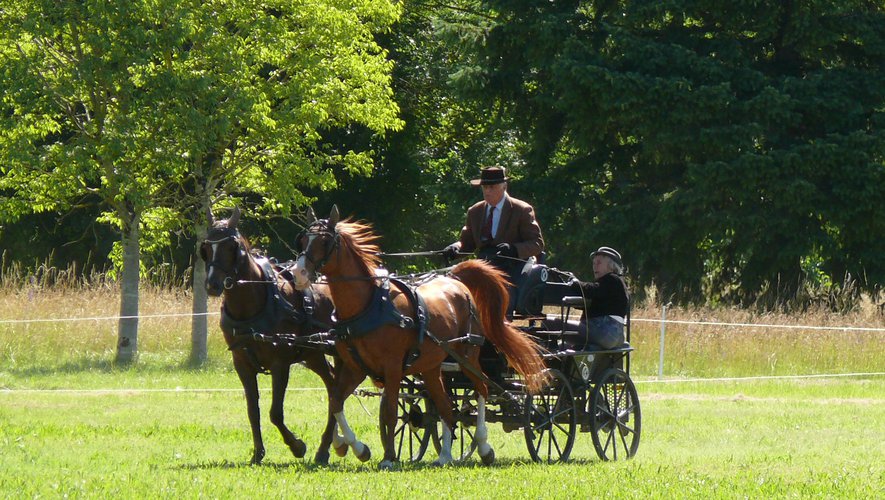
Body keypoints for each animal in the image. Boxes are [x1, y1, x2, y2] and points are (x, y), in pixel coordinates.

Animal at [200, 207, 348, 464]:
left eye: (231, 246)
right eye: (206, 247)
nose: (213, 284)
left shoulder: (280, 363)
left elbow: (275, 413)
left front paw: (297, 446)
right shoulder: (242, 364)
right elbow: (253, 411)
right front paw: (257, 453)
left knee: (336, 391)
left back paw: (325, 448)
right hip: (313, 355)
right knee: (332, 389)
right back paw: (325, 447)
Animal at [290, 204, 548, 468]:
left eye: (324, 241)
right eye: (303, 240)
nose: (297, 274)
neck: (368, 306)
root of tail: (456, 280)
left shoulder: (392, 367)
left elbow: (390, 412)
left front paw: (388, 458)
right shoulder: (356, 368)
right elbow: (336, 403)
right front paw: (356, 448)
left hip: (468, 356)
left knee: (482, 390)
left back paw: (484, 447)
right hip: (431, 366)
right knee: (446, 406)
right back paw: (445, 455)